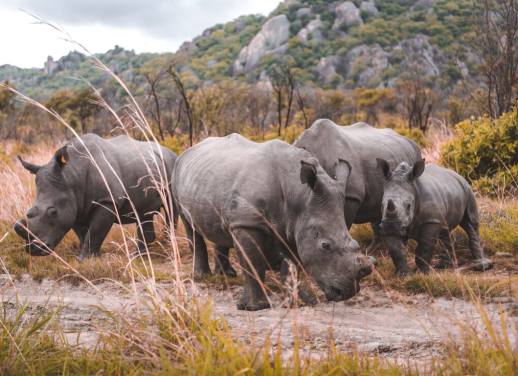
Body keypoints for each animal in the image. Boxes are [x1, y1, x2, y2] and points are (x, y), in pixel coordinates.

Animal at [13, 134, 179, 260]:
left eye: (53, 212)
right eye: (29, 214)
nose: (35, 250)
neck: (72, 175)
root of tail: (170, 151)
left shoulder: (107, 201)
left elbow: (95, 231)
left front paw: (84, 259)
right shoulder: (75, 205)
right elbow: (83, 233)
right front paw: (90, 257)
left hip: (171, 165)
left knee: (171, 210)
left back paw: (167, 245)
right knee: (144, 213)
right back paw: (138, 256)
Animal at [174, 134, 374, 310]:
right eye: (325, 246)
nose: (347, 292)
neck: (299, 194)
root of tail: (189, 150)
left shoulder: (293, 226)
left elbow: (292, 266)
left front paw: (298, 303)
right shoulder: (247, 223)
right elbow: (253, 264)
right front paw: (255, 308)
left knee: (221, 228)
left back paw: (227, 276)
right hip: (177, 177)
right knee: (190, 225)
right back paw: (201, 277)